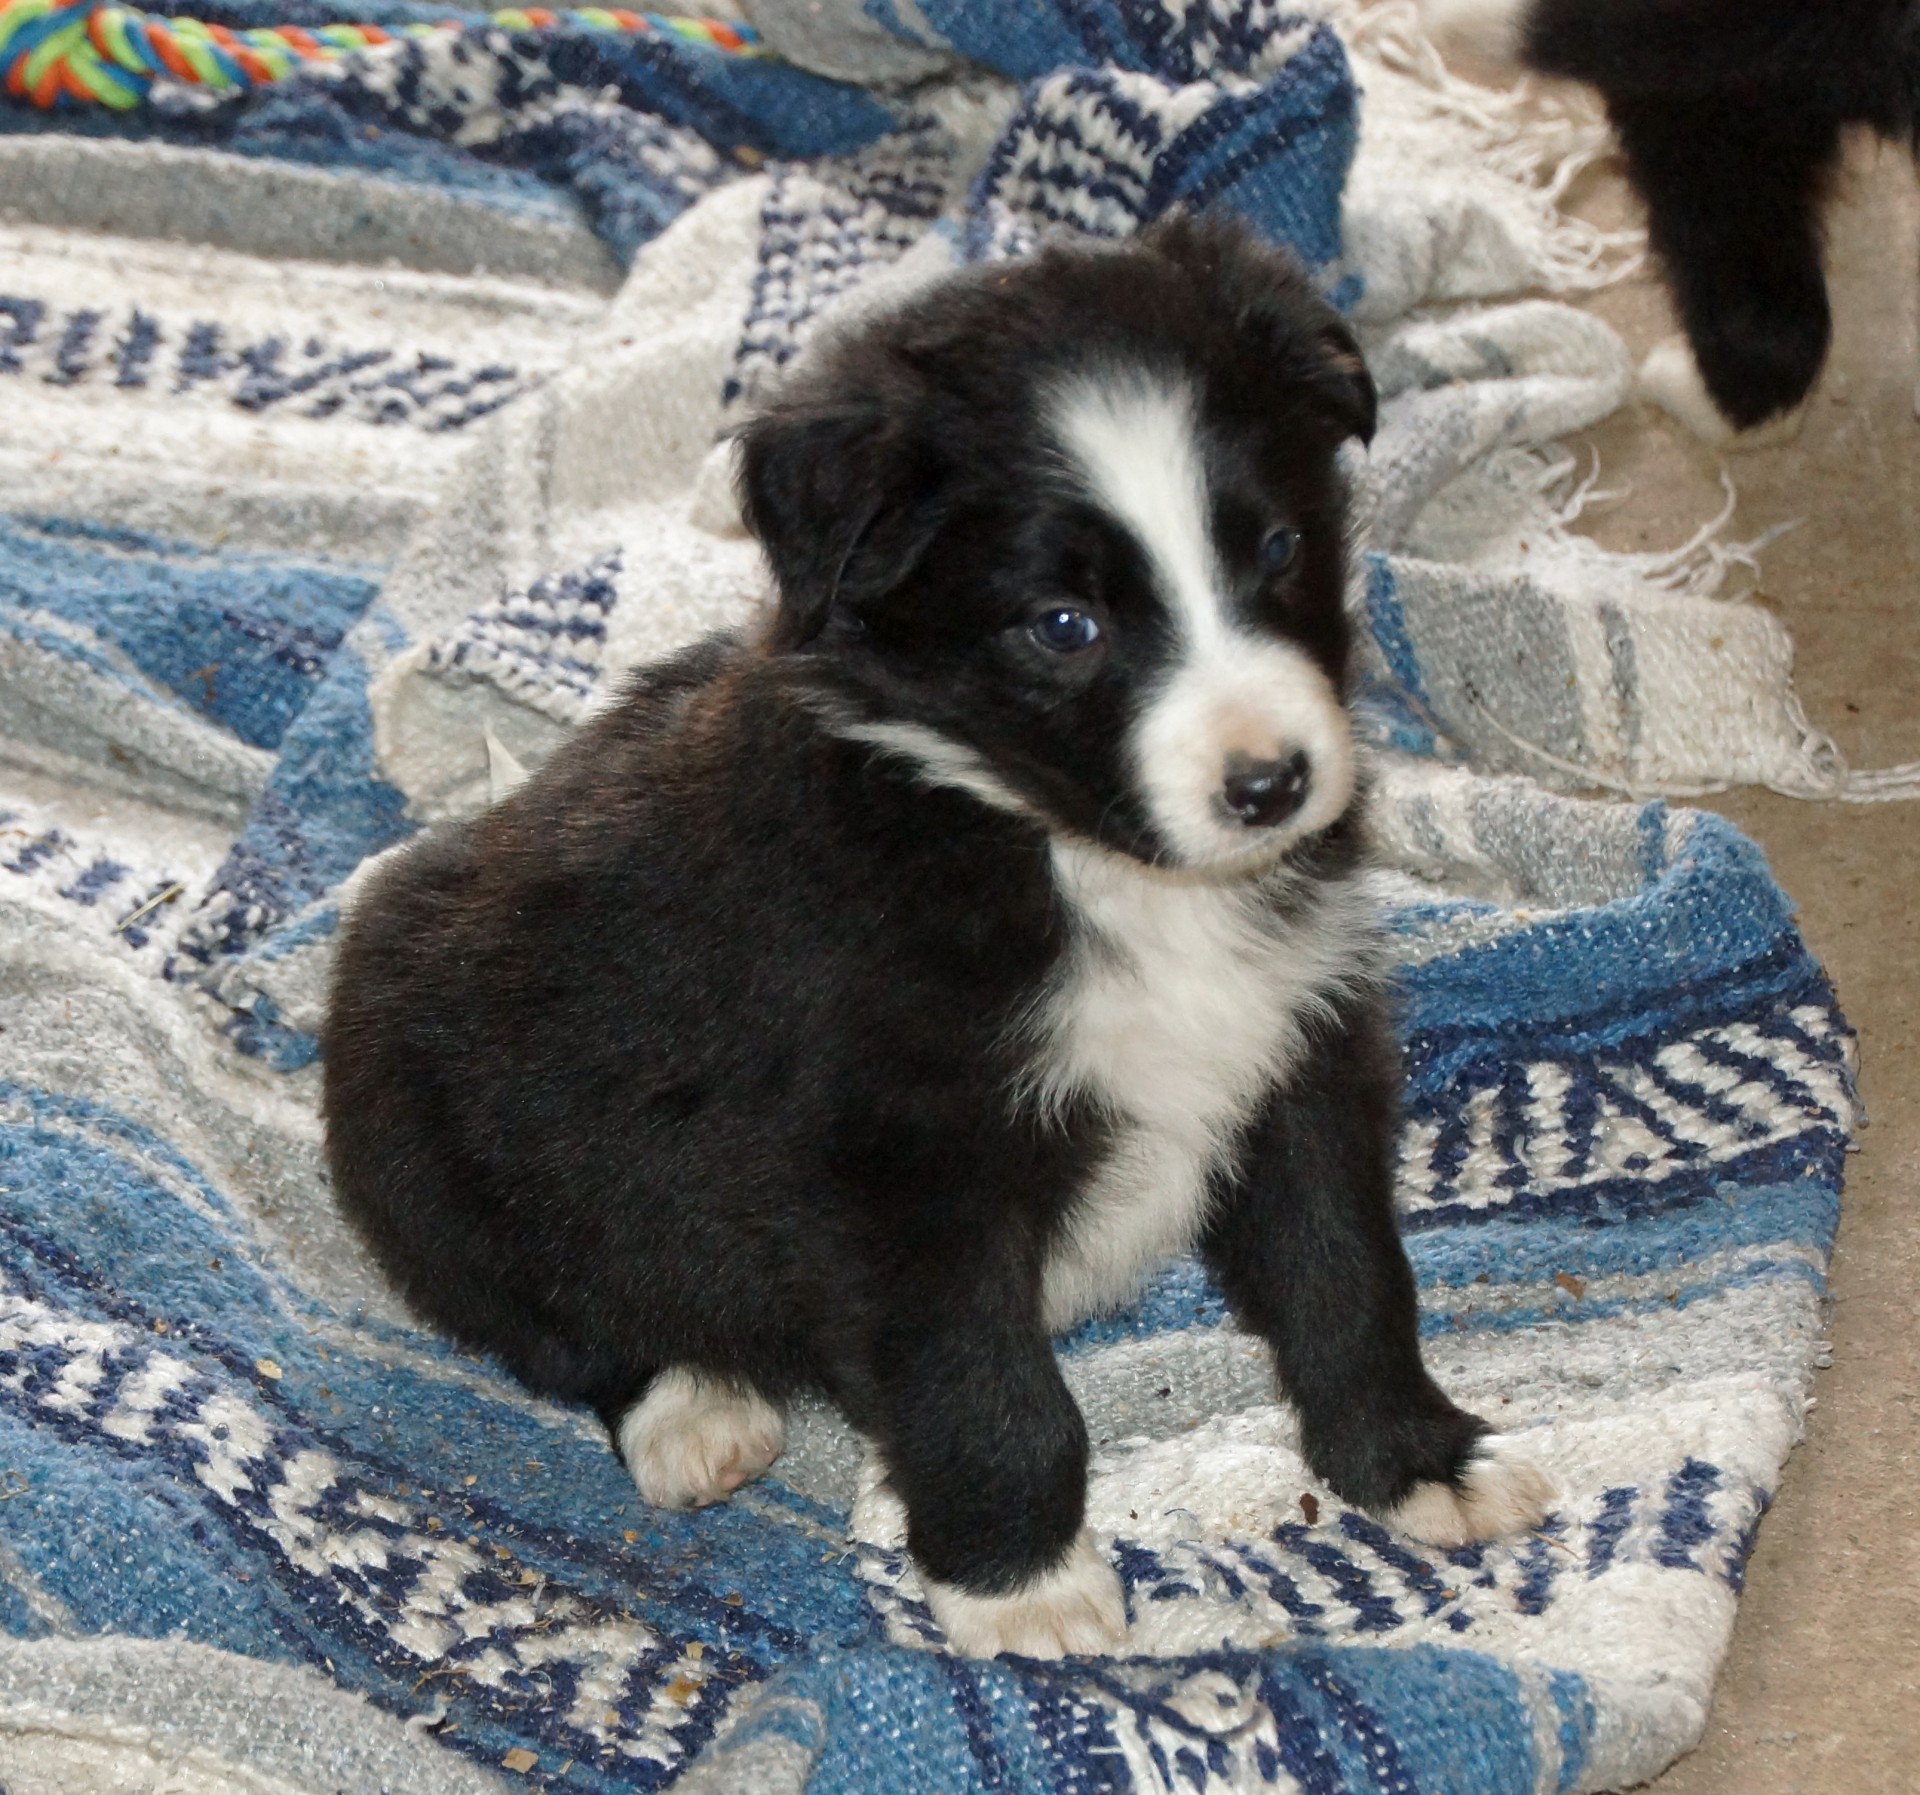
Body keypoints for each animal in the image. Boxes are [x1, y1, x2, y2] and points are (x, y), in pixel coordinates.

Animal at [322, 217, 1551, 1666]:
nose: (1272, 783)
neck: (1069, 852)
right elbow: (987, 1383)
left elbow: (1348, 1275)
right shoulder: (896, 1164)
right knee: (556, 1315)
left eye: (1280, 548)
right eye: (1063, 625)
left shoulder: (1298, 1043)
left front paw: (1420, 1460)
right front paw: (1025, 1586)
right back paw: (696, 1405)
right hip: (418, 1128)